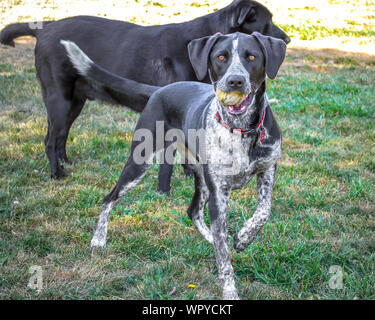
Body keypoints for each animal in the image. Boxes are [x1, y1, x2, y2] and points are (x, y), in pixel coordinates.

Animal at [0, 0, 290, 192]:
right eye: (266, 23)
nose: (287, 39)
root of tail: (44, 28)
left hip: (75, 102)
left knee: (60, 136)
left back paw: (66, 162)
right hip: (59, 99)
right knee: (50, 139)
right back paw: (57, 174)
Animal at [61, 28, 286, 300]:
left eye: (251, 57)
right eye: (221, 57)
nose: (235, 81)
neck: (241, 129)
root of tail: (160, 89)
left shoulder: (267, 169)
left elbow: (263, 212)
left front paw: (243, 237)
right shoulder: (219, 193)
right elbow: (224, 259)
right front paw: (230, 291)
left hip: (201, 179)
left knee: (194, 211)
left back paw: (211, 238)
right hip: (139, 163)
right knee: (109, 198)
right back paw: (98, 240)